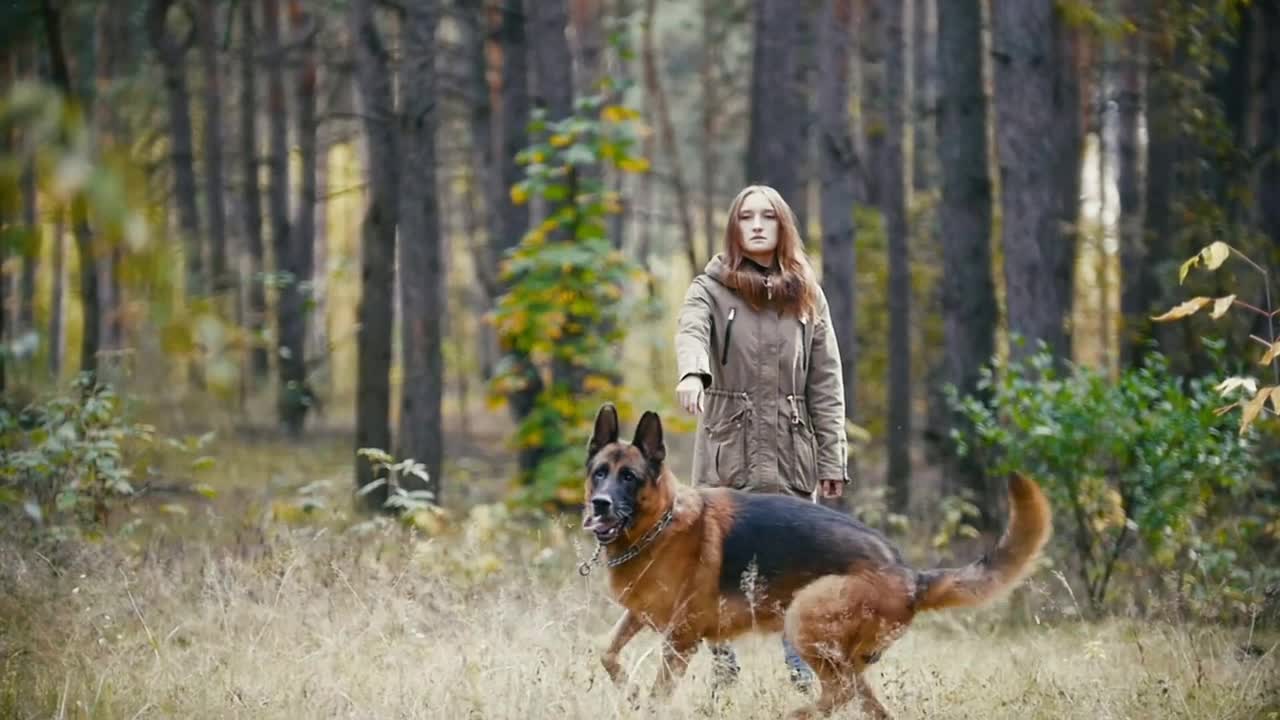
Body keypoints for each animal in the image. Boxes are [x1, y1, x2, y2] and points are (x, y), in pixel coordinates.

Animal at [581, 404, 1049, 717]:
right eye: (599, 473)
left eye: (629, 477)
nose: (599, 505)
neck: (658, 525)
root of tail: (908, 574)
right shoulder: (641, 617)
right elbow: (607, 654)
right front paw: (630, 694)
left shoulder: (680, 639)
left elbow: (658, 691)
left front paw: (644, 703)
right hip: (841, 657)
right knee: (864, 703)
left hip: (803, 618)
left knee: (836, 694)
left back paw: (791, 715)